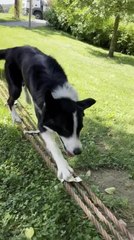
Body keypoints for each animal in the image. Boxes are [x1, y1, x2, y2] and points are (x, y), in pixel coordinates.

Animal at [0, 46, 96, 181]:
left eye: (80, 128)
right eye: (65, 130)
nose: (78, 151)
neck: (60, 97)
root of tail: (14, 49)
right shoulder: (42, 122)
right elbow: (54, 145)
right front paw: (63, 168)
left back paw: (28, 98)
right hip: (15, 86)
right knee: (10, 100)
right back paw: (15, 116)